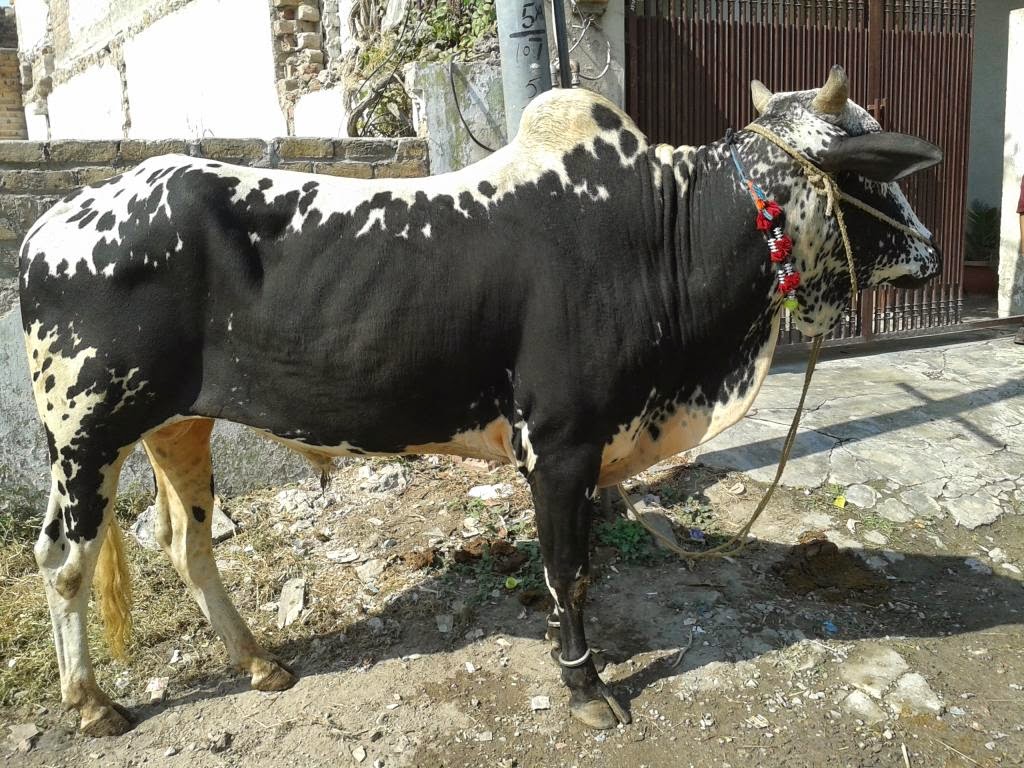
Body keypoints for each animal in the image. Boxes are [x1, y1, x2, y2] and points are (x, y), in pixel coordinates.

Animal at [22, 67, 942, 741]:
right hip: (86, 436)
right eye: (873, 169)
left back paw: (259, 661)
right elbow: (568, 572)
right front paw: (585, 684)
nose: (932, 251)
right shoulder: (561, 449)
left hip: (178, 425)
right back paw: (95, 704)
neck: (662, 233)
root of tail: (51, 224)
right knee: (62, 561)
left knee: (188, 547)